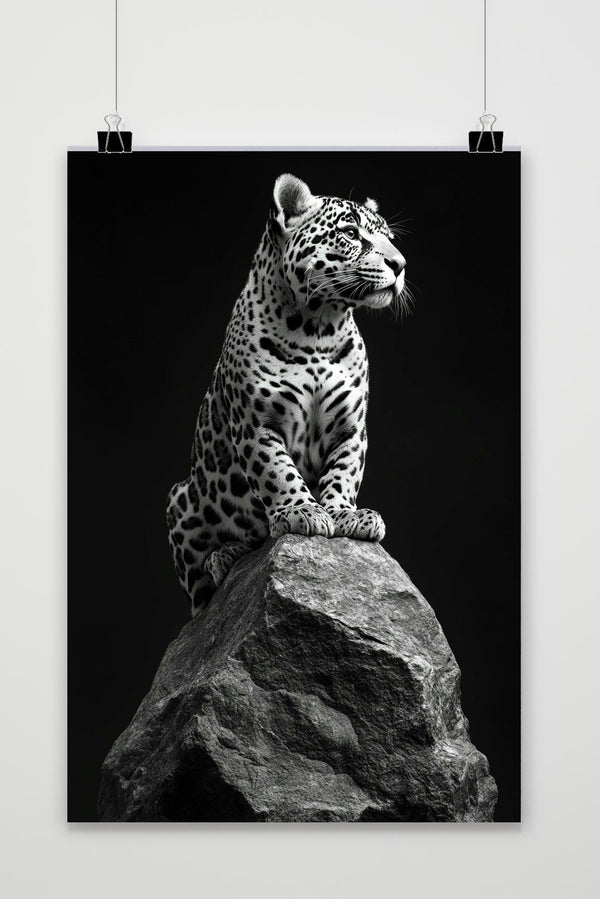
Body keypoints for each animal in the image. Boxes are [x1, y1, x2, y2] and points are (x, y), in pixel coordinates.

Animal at [167, 173, 407, 616]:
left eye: (388, 237)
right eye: (351, 234)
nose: (400, 265)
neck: (318, 328)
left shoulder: (351, 428)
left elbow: (344, 471)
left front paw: (345, 514)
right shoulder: (257, 423)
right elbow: (276, 470)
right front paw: (302, 511)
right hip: (180, 500)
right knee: (200, 590)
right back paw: (226, 557)